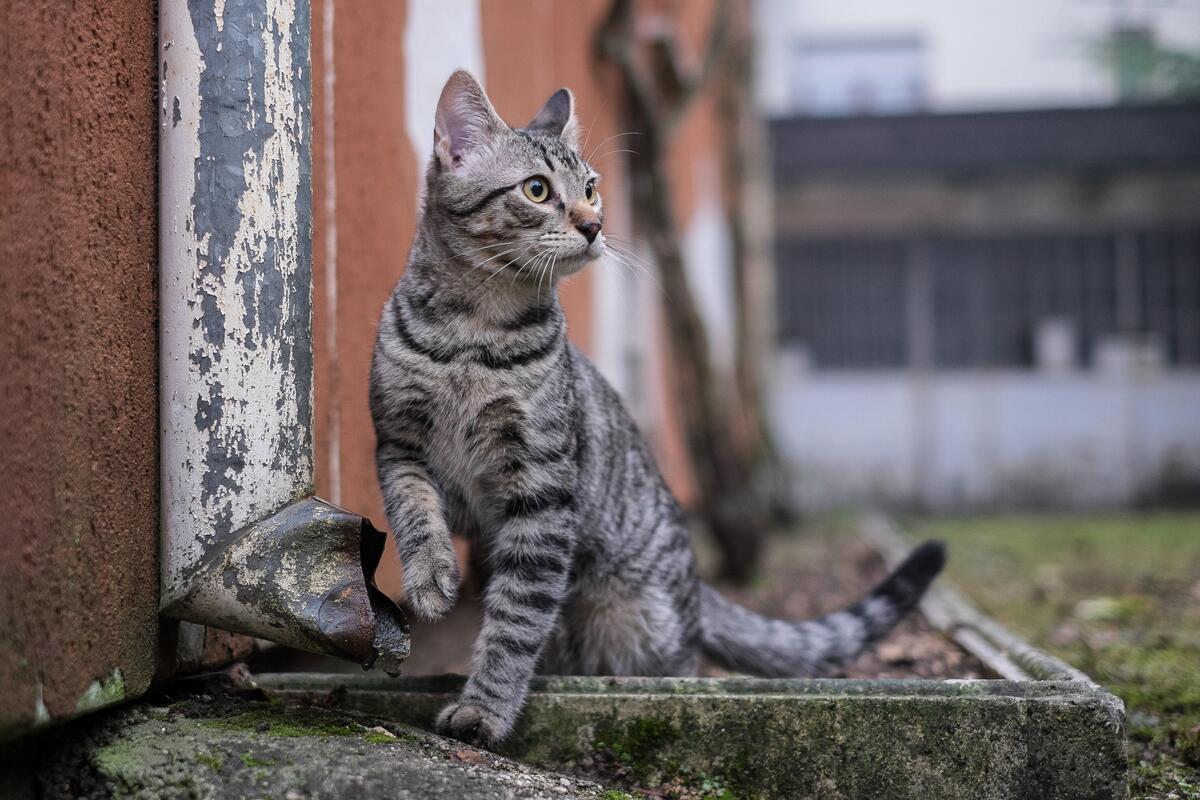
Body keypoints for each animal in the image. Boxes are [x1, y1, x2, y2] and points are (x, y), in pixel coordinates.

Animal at [369, 70, 940, 753]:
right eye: (537, 190)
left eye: (592, 188)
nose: (594, 224)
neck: (472, 338)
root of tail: (696, 584)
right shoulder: (398, 443)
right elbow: (413, 509)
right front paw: (429, 578)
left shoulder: (543, 493)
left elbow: (516, 620)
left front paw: (484, 710)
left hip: (635, 622)